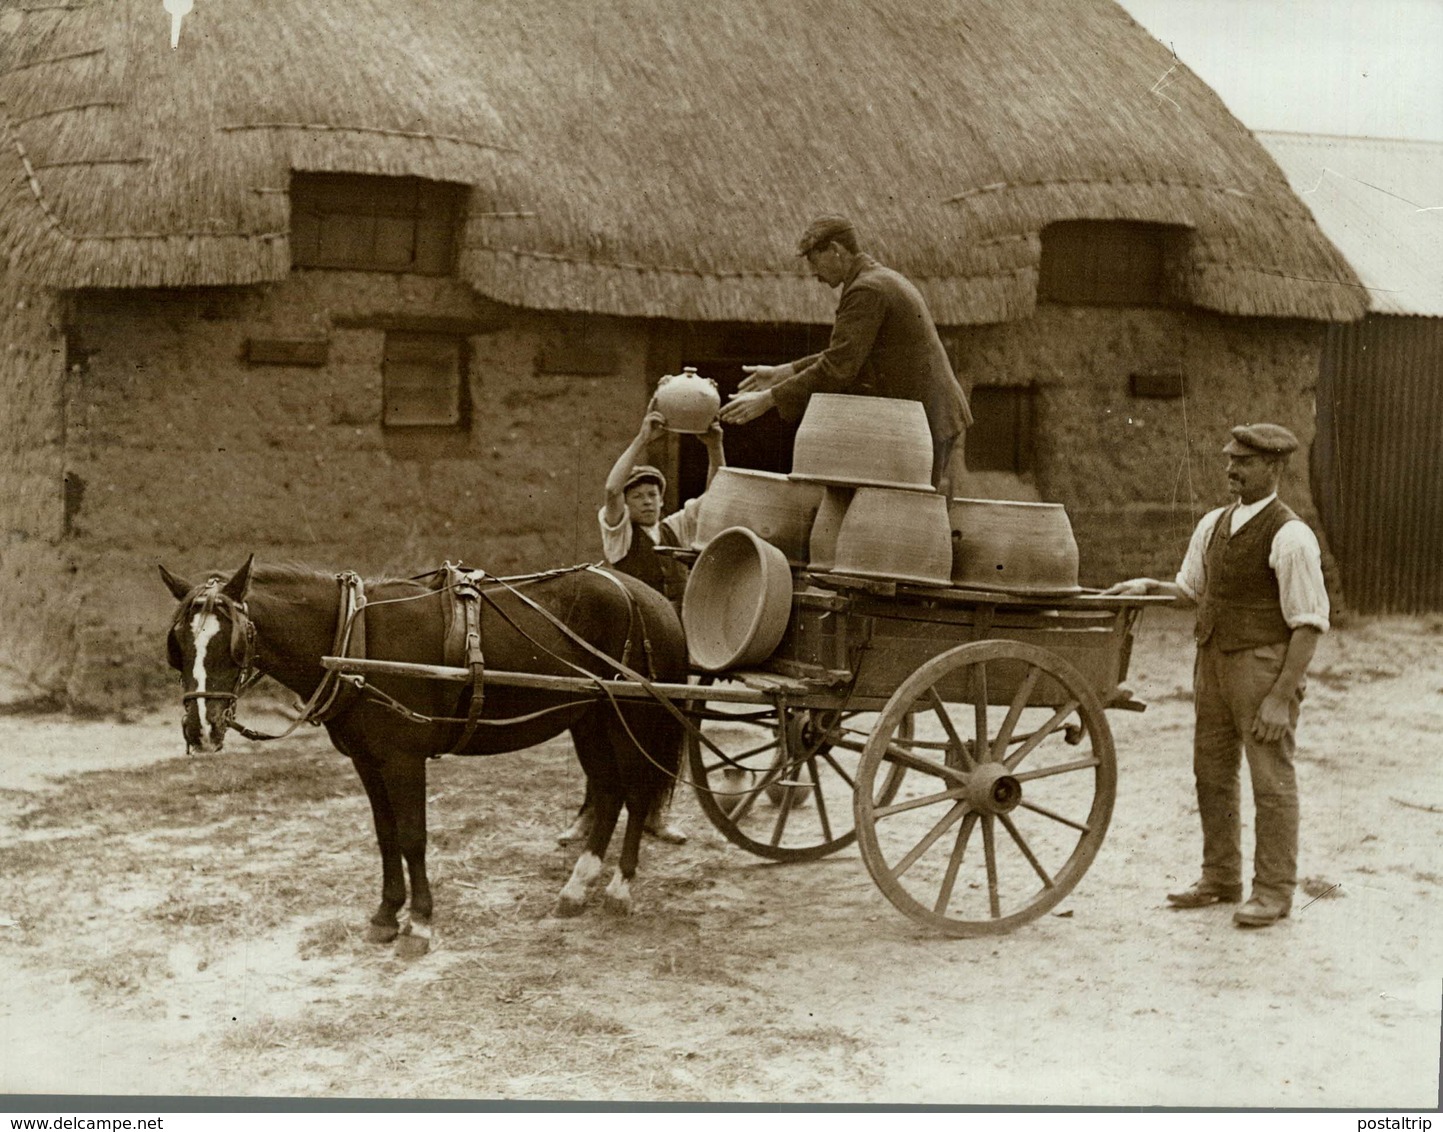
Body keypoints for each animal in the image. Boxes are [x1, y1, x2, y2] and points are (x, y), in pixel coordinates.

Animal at [160, 554, 689, 952]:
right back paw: (577, 888)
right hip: (589, 720)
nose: (200, 728)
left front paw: (419, 923)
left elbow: (413, 837)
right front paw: (386, 915)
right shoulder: (368, 762)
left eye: (231, 641)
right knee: (609, 791)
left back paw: (619, 888)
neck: (354, 638)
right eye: (179, 643)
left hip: (629, 719)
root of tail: (650, 597)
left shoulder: (403, 759)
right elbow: (386, 837)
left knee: (636, 793)